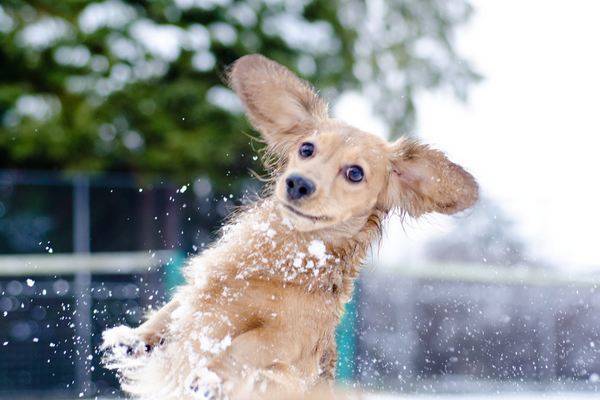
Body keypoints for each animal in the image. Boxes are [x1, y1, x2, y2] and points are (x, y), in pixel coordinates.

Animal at [102, 54, 478, 400]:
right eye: (306, 148)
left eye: (355, 173)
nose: (298, 183)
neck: (282, 256)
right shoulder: (204, 292)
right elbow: (175, 309)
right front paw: (135, 338)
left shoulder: (286, 341)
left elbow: (246, 344)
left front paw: (211, 375)